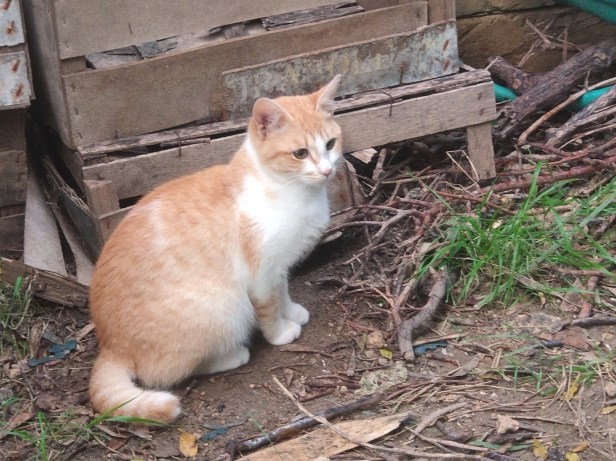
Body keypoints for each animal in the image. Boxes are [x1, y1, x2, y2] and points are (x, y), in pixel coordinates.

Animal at [88, 75, 343, 422]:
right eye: (300, 153)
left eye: (330, 144)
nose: (327, 170)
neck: (285, 188)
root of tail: (110, 345)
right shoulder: (261, 276)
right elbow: (269, 308)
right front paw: (279, 332)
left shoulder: (279, 266)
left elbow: (284, 292)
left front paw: (292, 312)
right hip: (222, 306)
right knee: (168, 374)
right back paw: (233, 355)